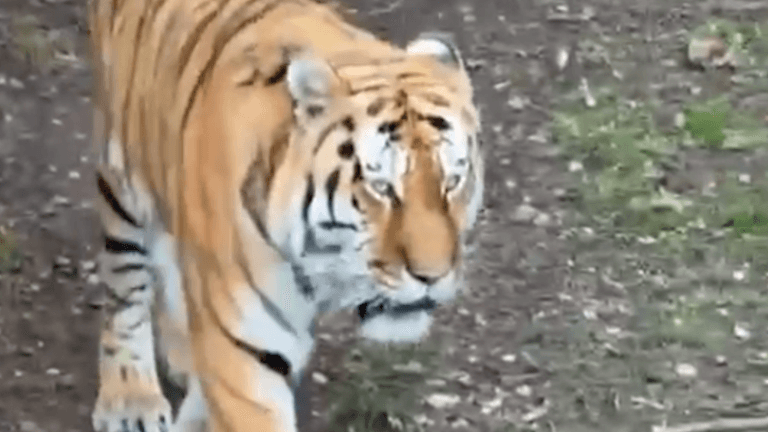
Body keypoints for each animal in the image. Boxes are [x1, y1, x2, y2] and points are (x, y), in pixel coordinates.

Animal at [86, 0, 484, 431]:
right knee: (125, 285)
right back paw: (131, 397)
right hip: (121, 173)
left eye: (453, 181)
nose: (432, 276)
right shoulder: (247, 350)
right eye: (381, 187)